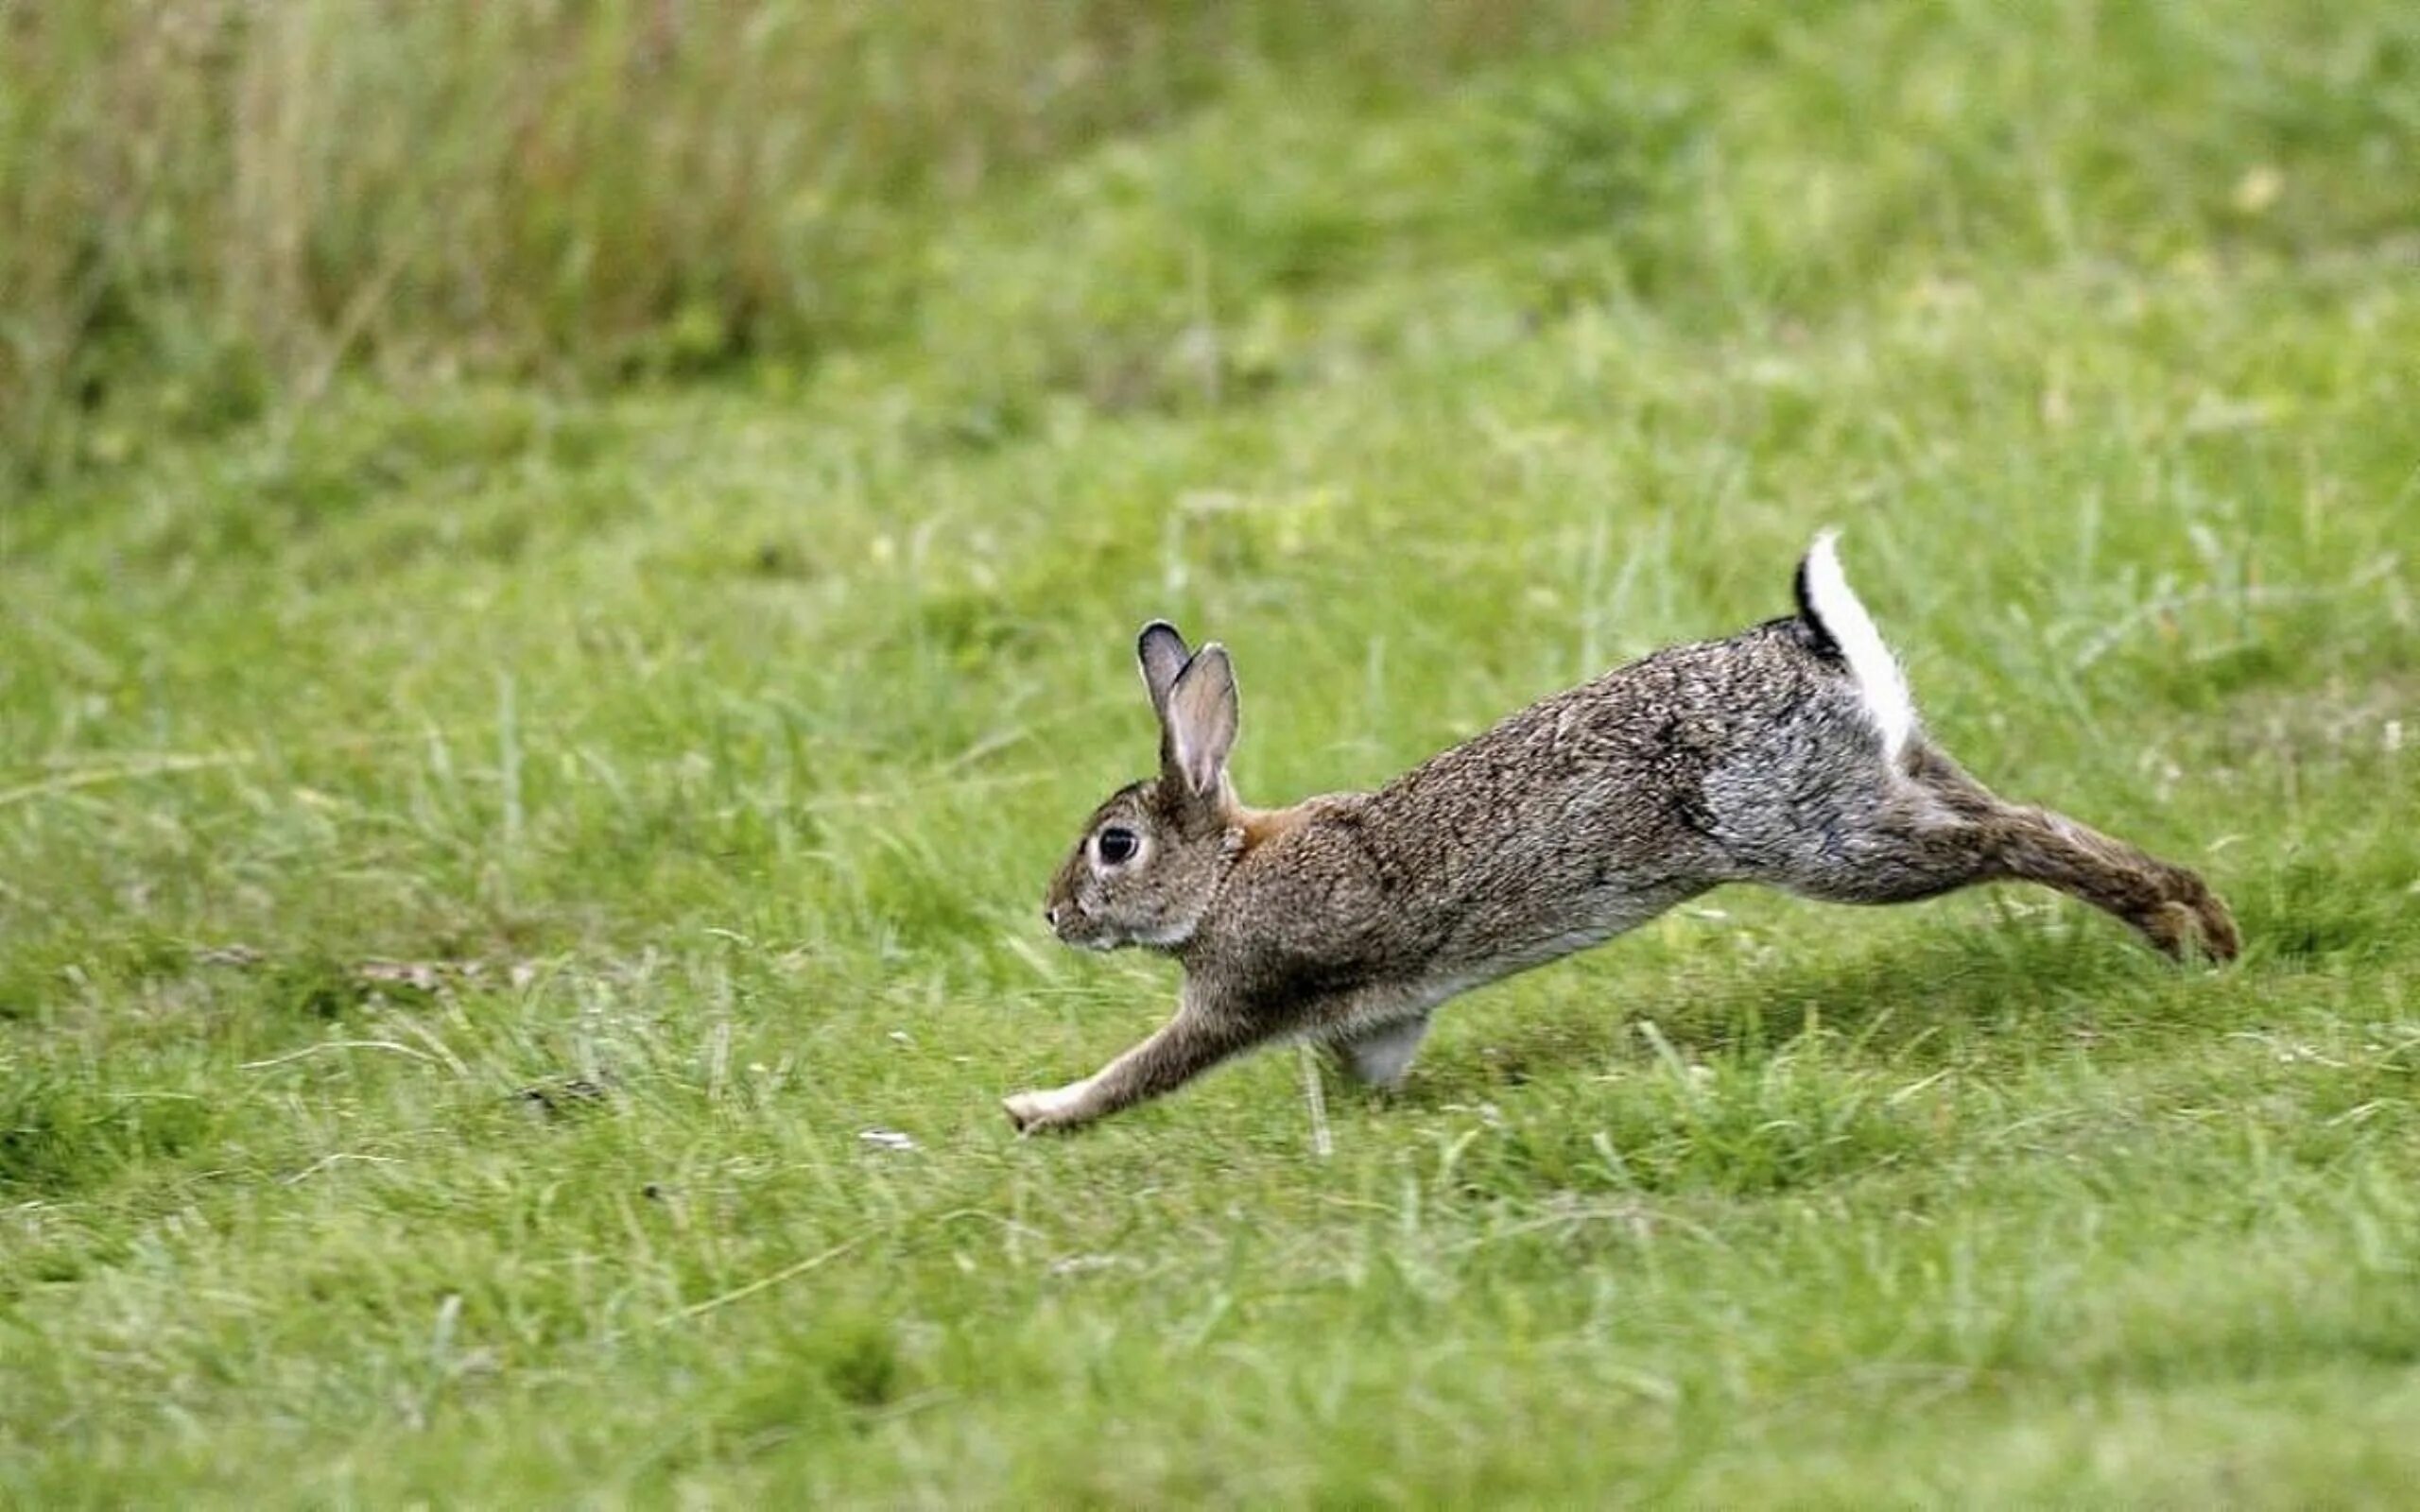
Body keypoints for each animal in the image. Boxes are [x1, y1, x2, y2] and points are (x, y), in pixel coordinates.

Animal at [1001, 529, 2226, 1132]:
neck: (1225, 871)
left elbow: (1145, 1068)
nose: (1053, 914)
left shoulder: (1237, 995)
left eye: (1115, 845)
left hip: (1825, 838)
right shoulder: (1380, 1016)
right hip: (1892, 778)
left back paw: (2172, 923)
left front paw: (1038, 1111)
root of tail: (1809, 643)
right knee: (2024, 815)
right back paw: (2200, 920)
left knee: (2005, 842)